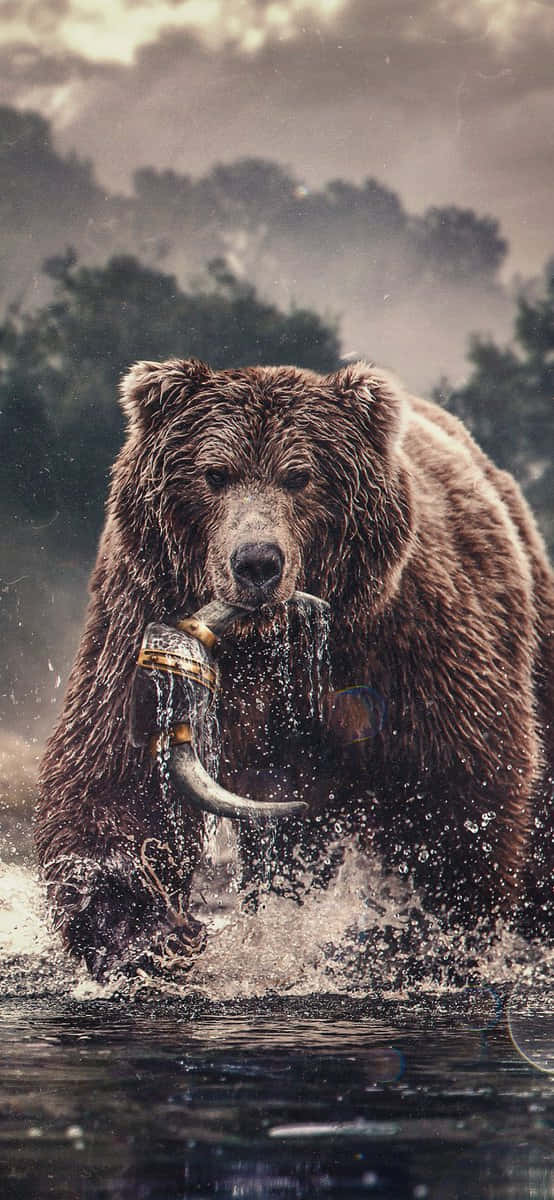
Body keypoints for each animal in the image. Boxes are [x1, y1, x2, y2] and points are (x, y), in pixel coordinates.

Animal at [36, 359, 554, 979]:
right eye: (214, 473)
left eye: (299, 476)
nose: (257, 562)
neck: (269, 642)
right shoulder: (136, 611)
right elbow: (117, 772)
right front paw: (145, 932)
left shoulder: (409, 639)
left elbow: (456, 784)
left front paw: (405, 939)